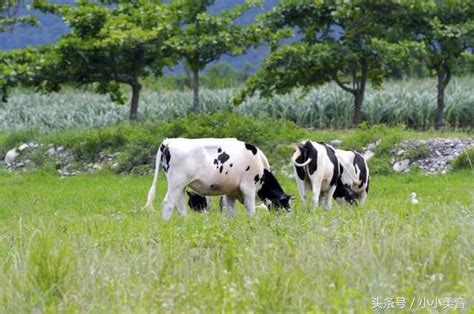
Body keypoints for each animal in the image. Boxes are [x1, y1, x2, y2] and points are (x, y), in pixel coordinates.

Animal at [146, 139, 290, 220]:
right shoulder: (248, 187)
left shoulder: (231, 192)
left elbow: (229, 211)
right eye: (285, 204)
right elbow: (251, 211)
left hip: (181, 186)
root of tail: (169, 142)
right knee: (168, 203)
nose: (289, 218)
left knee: (180, 206)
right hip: (176, 183)